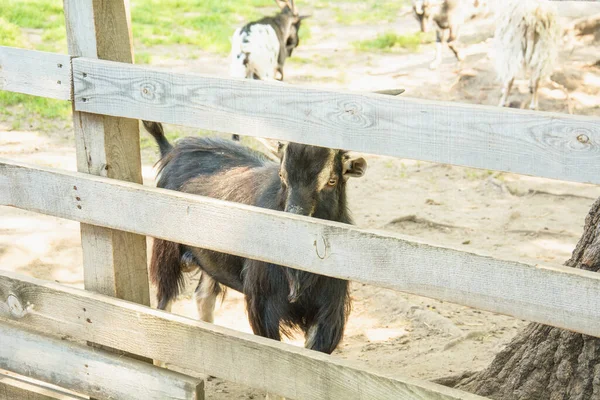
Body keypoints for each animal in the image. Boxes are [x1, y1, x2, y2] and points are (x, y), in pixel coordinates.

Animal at [144, 120, 368, 354]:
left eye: (331, 181)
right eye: (282, 176)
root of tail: (171, 150)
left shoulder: (329, 310)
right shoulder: (263, 305)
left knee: (203, 298)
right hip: (166, 251)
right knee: (164, 304)